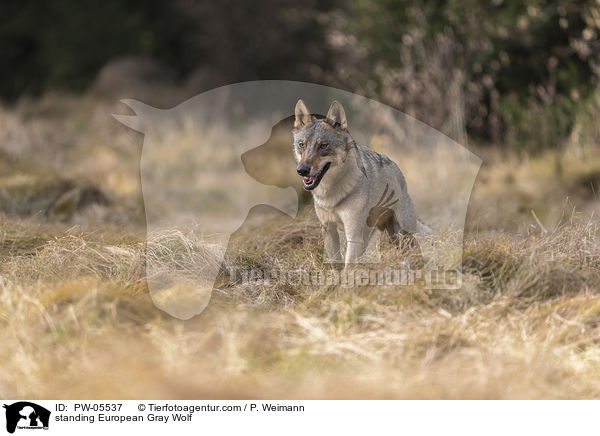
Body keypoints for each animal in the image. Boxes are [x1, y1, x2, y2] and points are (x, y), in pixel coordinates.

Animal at [292, 99, 428, 266]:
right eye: (302, 145)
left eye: (323, 146)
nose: (302, 170)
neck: (331, 193)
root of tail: (398, 169)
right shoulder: (329, 230)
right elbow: (336, 263)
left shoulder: (353, 234)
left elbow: (348, 265)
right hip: (381, 237)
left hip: (402, 233)